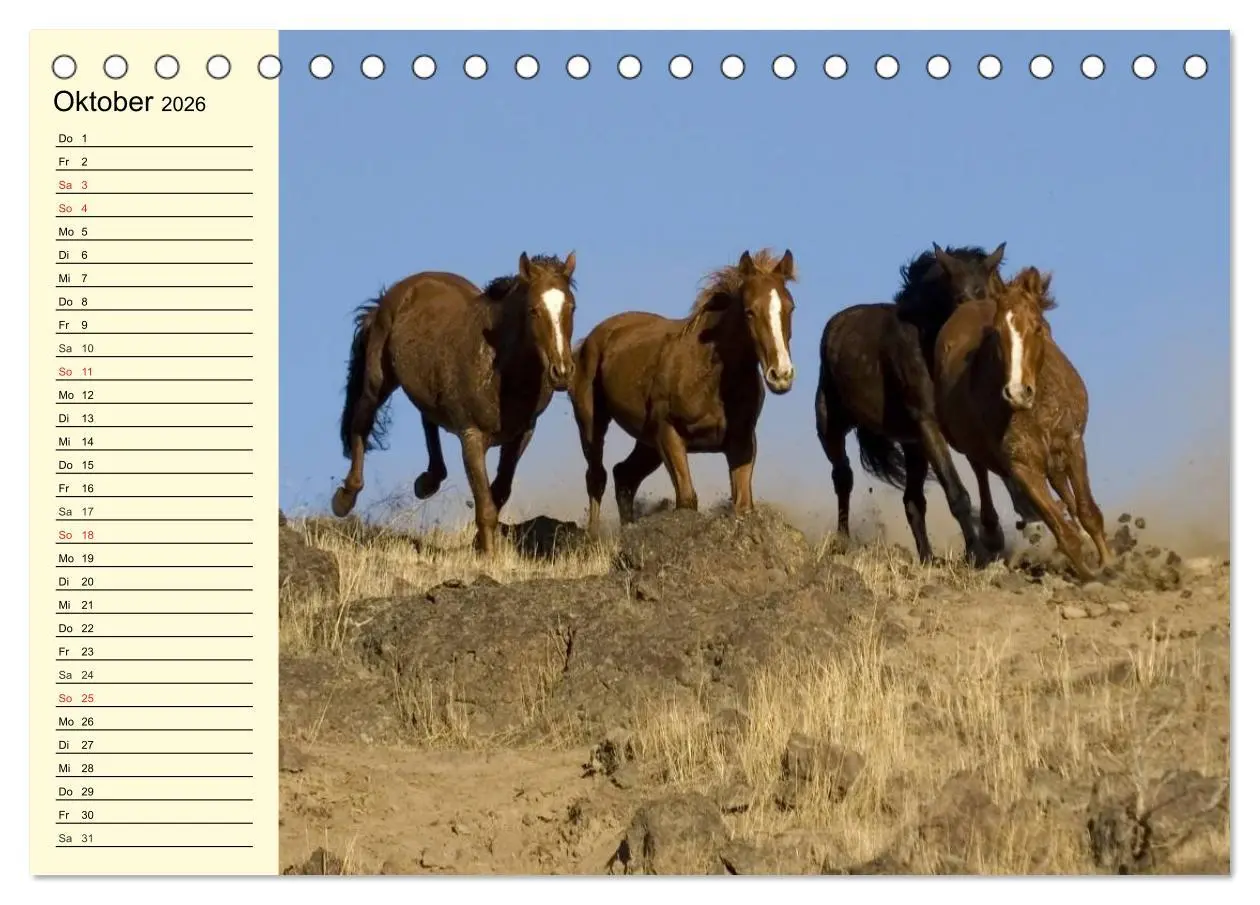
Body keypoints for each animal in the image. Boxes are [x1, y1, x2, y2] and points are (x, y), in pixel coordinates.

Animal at [331, 251, 579, 553]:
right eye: (533, 309)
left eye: (571, 307)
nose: (562, 372)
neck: (499, 367)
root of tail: (392, 295)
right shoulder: (471, 435)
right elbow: (486, 505)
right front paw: (489, 557)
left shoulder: (521, 435)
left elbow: (499, 492)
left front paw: (479, 546)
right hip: (377, 380)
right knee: (361, 422)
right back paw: (344, 499)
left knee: (427, 419)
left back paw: (427, 482)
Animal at [570, 248, 797, 532]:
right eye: (750, 311)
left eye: (790, 308)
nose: (781, 375)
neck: (709, 377)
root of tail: (587, 342)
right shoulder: (669, 434)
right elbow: (687, 499)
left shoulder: (742, 442)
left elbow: (743, 504)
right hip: (592, 423)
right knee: (596, 476)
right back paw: (594, 536)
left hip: (647, 443)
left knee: (624, 476)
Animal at [814, 243, 1006, 564]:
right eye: (958, 297)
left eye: (986, 295)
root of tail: (835, 325)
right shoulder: (928, 422)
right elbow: (957, 492)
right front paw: (978, 553)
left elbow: (980, 473)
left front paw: (993, 537)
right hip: (831, 425)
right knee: (843, 477)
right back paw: (842, 542)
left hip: (913, 445)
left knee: (912, 500)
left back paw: (928, 557)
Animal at [933, 266, 1112, 580]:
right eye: (996, 332)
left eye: (1038, 327)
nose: (1017, 392)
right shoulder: (1022, 466)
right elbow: (1063, 530)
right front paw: (1091, 572)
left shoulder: (1073, 444)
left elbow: (1088, 512)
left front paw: (1109, 563)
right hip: (978, 450)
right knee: (980, 470)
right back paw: (992, 533)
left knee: (1065, 491)